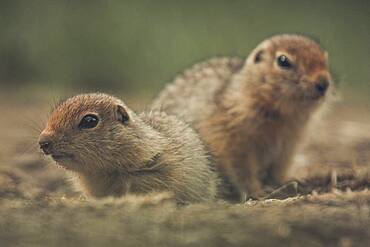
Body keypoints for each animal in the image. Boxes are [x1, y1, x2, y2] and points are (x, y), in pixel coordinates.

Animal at [152, 33, 334, 200]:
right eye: (283, 60)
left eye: (324, 58)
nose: (323, 83)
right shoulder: (231, 139)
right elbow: (242, 169)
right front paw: (258, 192)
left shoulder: (289, 145)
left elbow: (277, 169)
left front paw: (283, 183)